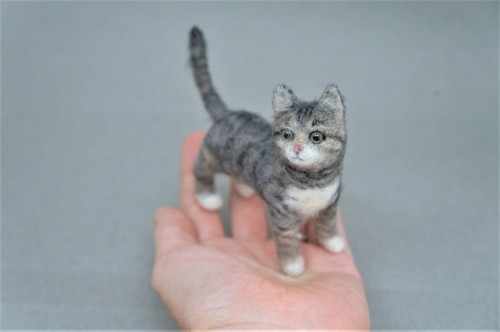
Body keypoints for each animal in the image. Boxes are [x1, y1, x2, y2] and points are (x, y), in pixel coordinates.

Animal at [189, 26, 346, 276]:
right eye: (287, 134)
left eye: (316, 136)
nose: (297, 148)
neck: (313, 182)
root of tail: (228, 114)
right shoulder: (281, 214)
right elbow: (286, 240)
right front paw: (293, 266)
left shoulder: (330, 204)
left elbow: (327, 225)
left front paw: (332, 242)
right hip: (212, 154)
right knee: (200, 168)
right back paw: (207, 198)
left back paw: (244, 188)